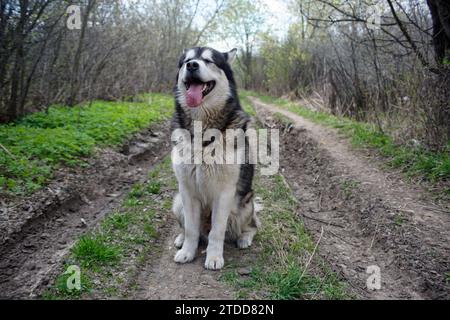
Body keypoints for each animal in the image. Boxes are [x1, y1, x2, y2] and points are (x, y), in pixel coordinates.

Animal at [170, 45, 260, 270]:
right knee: (189, 228)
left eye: (209, 60)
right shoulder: (187, 191)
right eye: (187, 61)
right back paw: (181, 239)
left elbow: (217, 232)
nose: (192, 66)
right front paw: (188, 251)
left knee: (253, 225)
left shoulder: (225, 192)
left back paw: (244, 238)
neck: (203, 130)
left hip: (245, 204)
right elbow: (191, 229)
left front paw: (214, 257)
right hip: (177, 201)